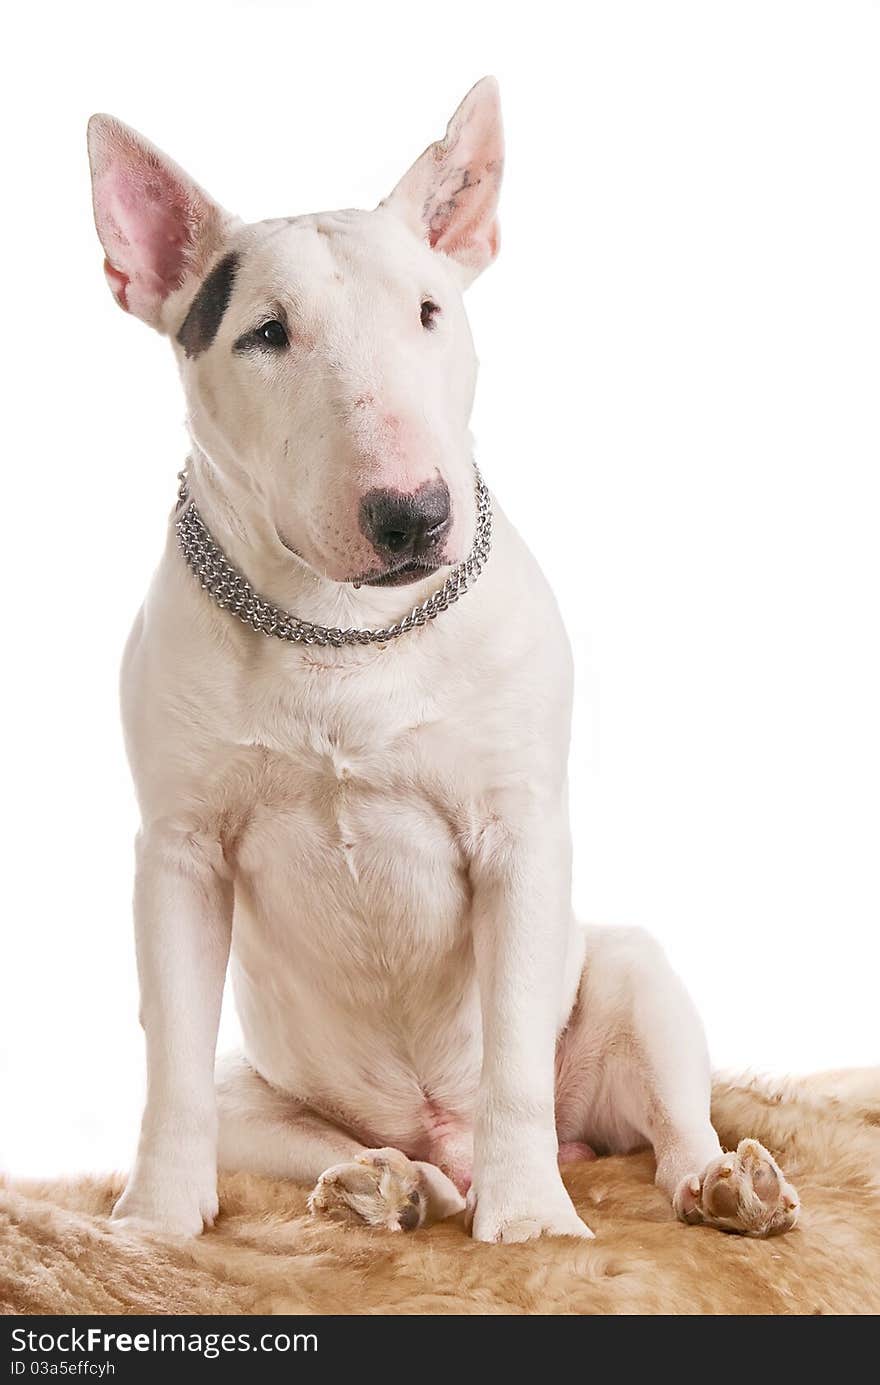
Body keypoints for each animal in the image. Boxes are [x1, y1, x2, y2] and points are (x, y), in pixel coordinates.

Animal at [87, 78, 798, 1246]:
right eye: (266, 333)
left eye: (428, 311)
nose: (413, 515)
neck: (340, 634)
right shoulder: (179, 855)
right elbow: (170, 1063)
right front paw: (154, 1217)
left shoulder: (517, 839)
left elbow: (511, 1049)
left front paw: (531, 1221)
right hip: (263, 1093)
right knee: (302, 1128)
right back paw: (389, 1182)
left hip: (630, 977)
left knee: (667, 1125)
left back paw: (719, 1185)